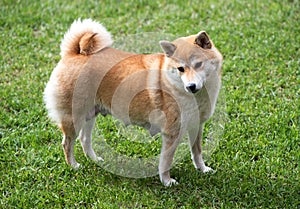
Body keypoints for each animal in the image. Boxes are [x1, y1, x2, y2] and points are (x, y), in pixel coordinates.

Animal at [44, 19, 223, 186]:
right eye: (181, 69)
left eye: (198, 64)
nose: (190, 86)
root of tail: (73, 54)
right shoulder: (171, 133)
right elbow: (166, 162)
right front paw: (166, 181)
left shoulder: (196, 126)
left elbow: (197, 152)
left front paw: (202, 169)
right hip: (74, 118)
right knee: (67, 143)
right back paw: (73, 165)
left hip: (90, 115)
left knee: (84, 140)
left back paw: (95, 160)